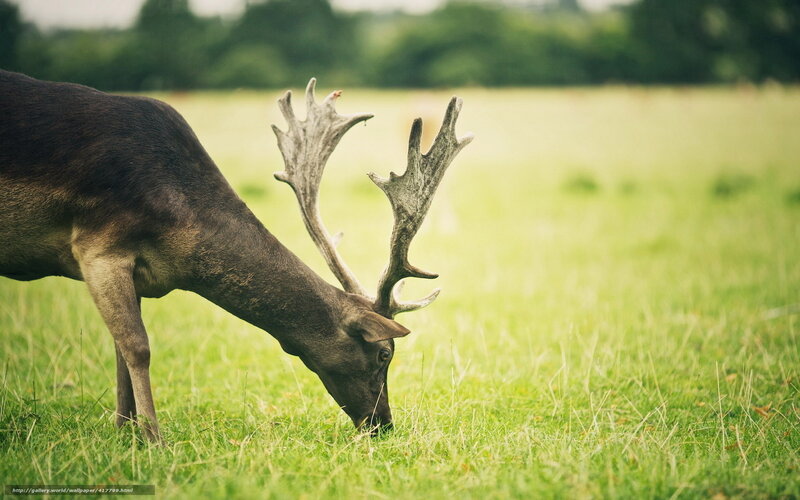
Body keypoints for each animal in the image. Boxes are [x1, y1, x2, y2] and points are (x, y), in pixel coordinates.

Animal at [0, 70, 472, 443]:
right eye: (384, 354)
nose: (383, 424)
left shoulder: (129, 270)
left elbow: (119, 352)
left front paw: (123, 433)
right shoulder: (97, 245)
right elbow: (137, 346)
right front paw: (154, 440)